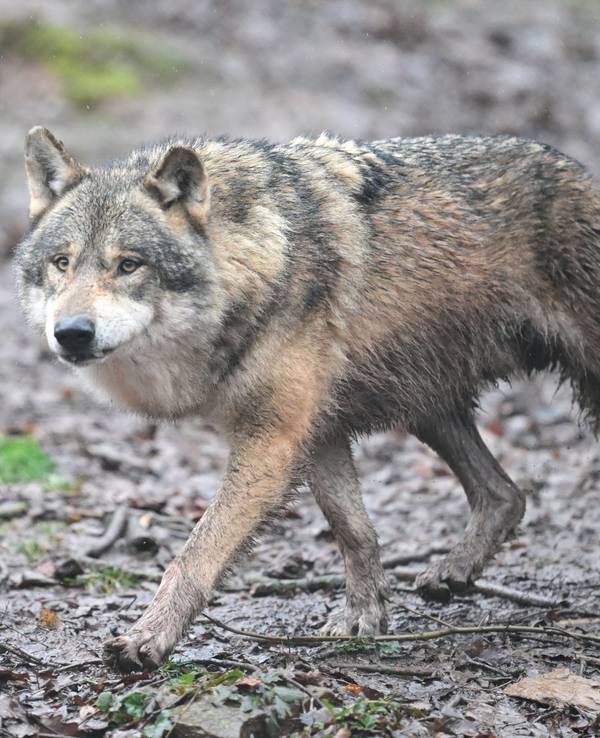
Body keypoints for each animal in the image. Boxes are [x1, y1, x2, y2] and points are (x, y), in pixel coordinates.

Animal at [15, 126, 600, 671]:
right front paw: (364, 619)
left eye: (128, 265)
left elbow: (194, 553)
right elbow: (354, 531)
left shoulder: (272, 441)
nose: (71, 333)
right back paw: (452, 572)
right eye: (62, 263)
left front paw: (147, 638)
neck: (258, 262)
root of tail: (580, 170)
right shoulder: (317, 432)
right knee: (506, 495)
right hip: (428, 407)